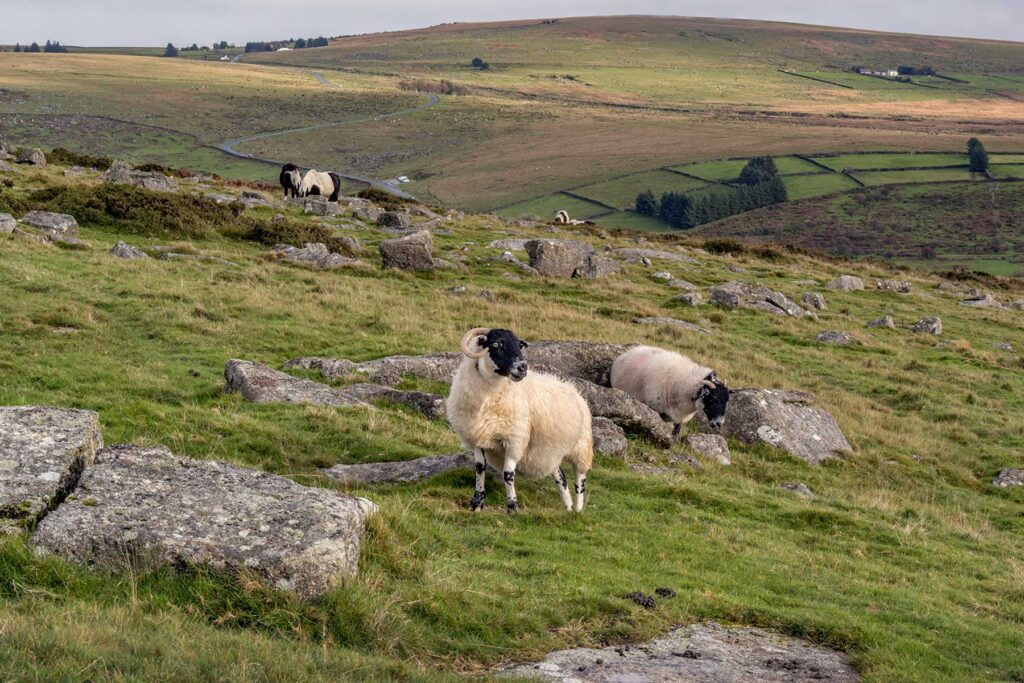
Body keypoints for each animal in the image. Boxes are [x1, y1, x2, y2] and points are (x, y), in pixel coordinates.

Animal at [446, 327, 594, 513]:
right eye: (497, 344)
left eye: (519, 345)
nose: (523, 367)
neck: (489, 397)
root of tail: (575, 390)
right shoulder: (478, 436)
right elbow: (479, 468)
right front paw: (477, 502)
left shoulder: (514, 438)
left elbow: (508, 474)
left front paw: (512, 506)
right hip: (551, 451)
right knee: (561, 476)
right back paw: (568, 507)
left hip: (581, 446)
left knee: (580, 479)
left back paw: (578, 509)